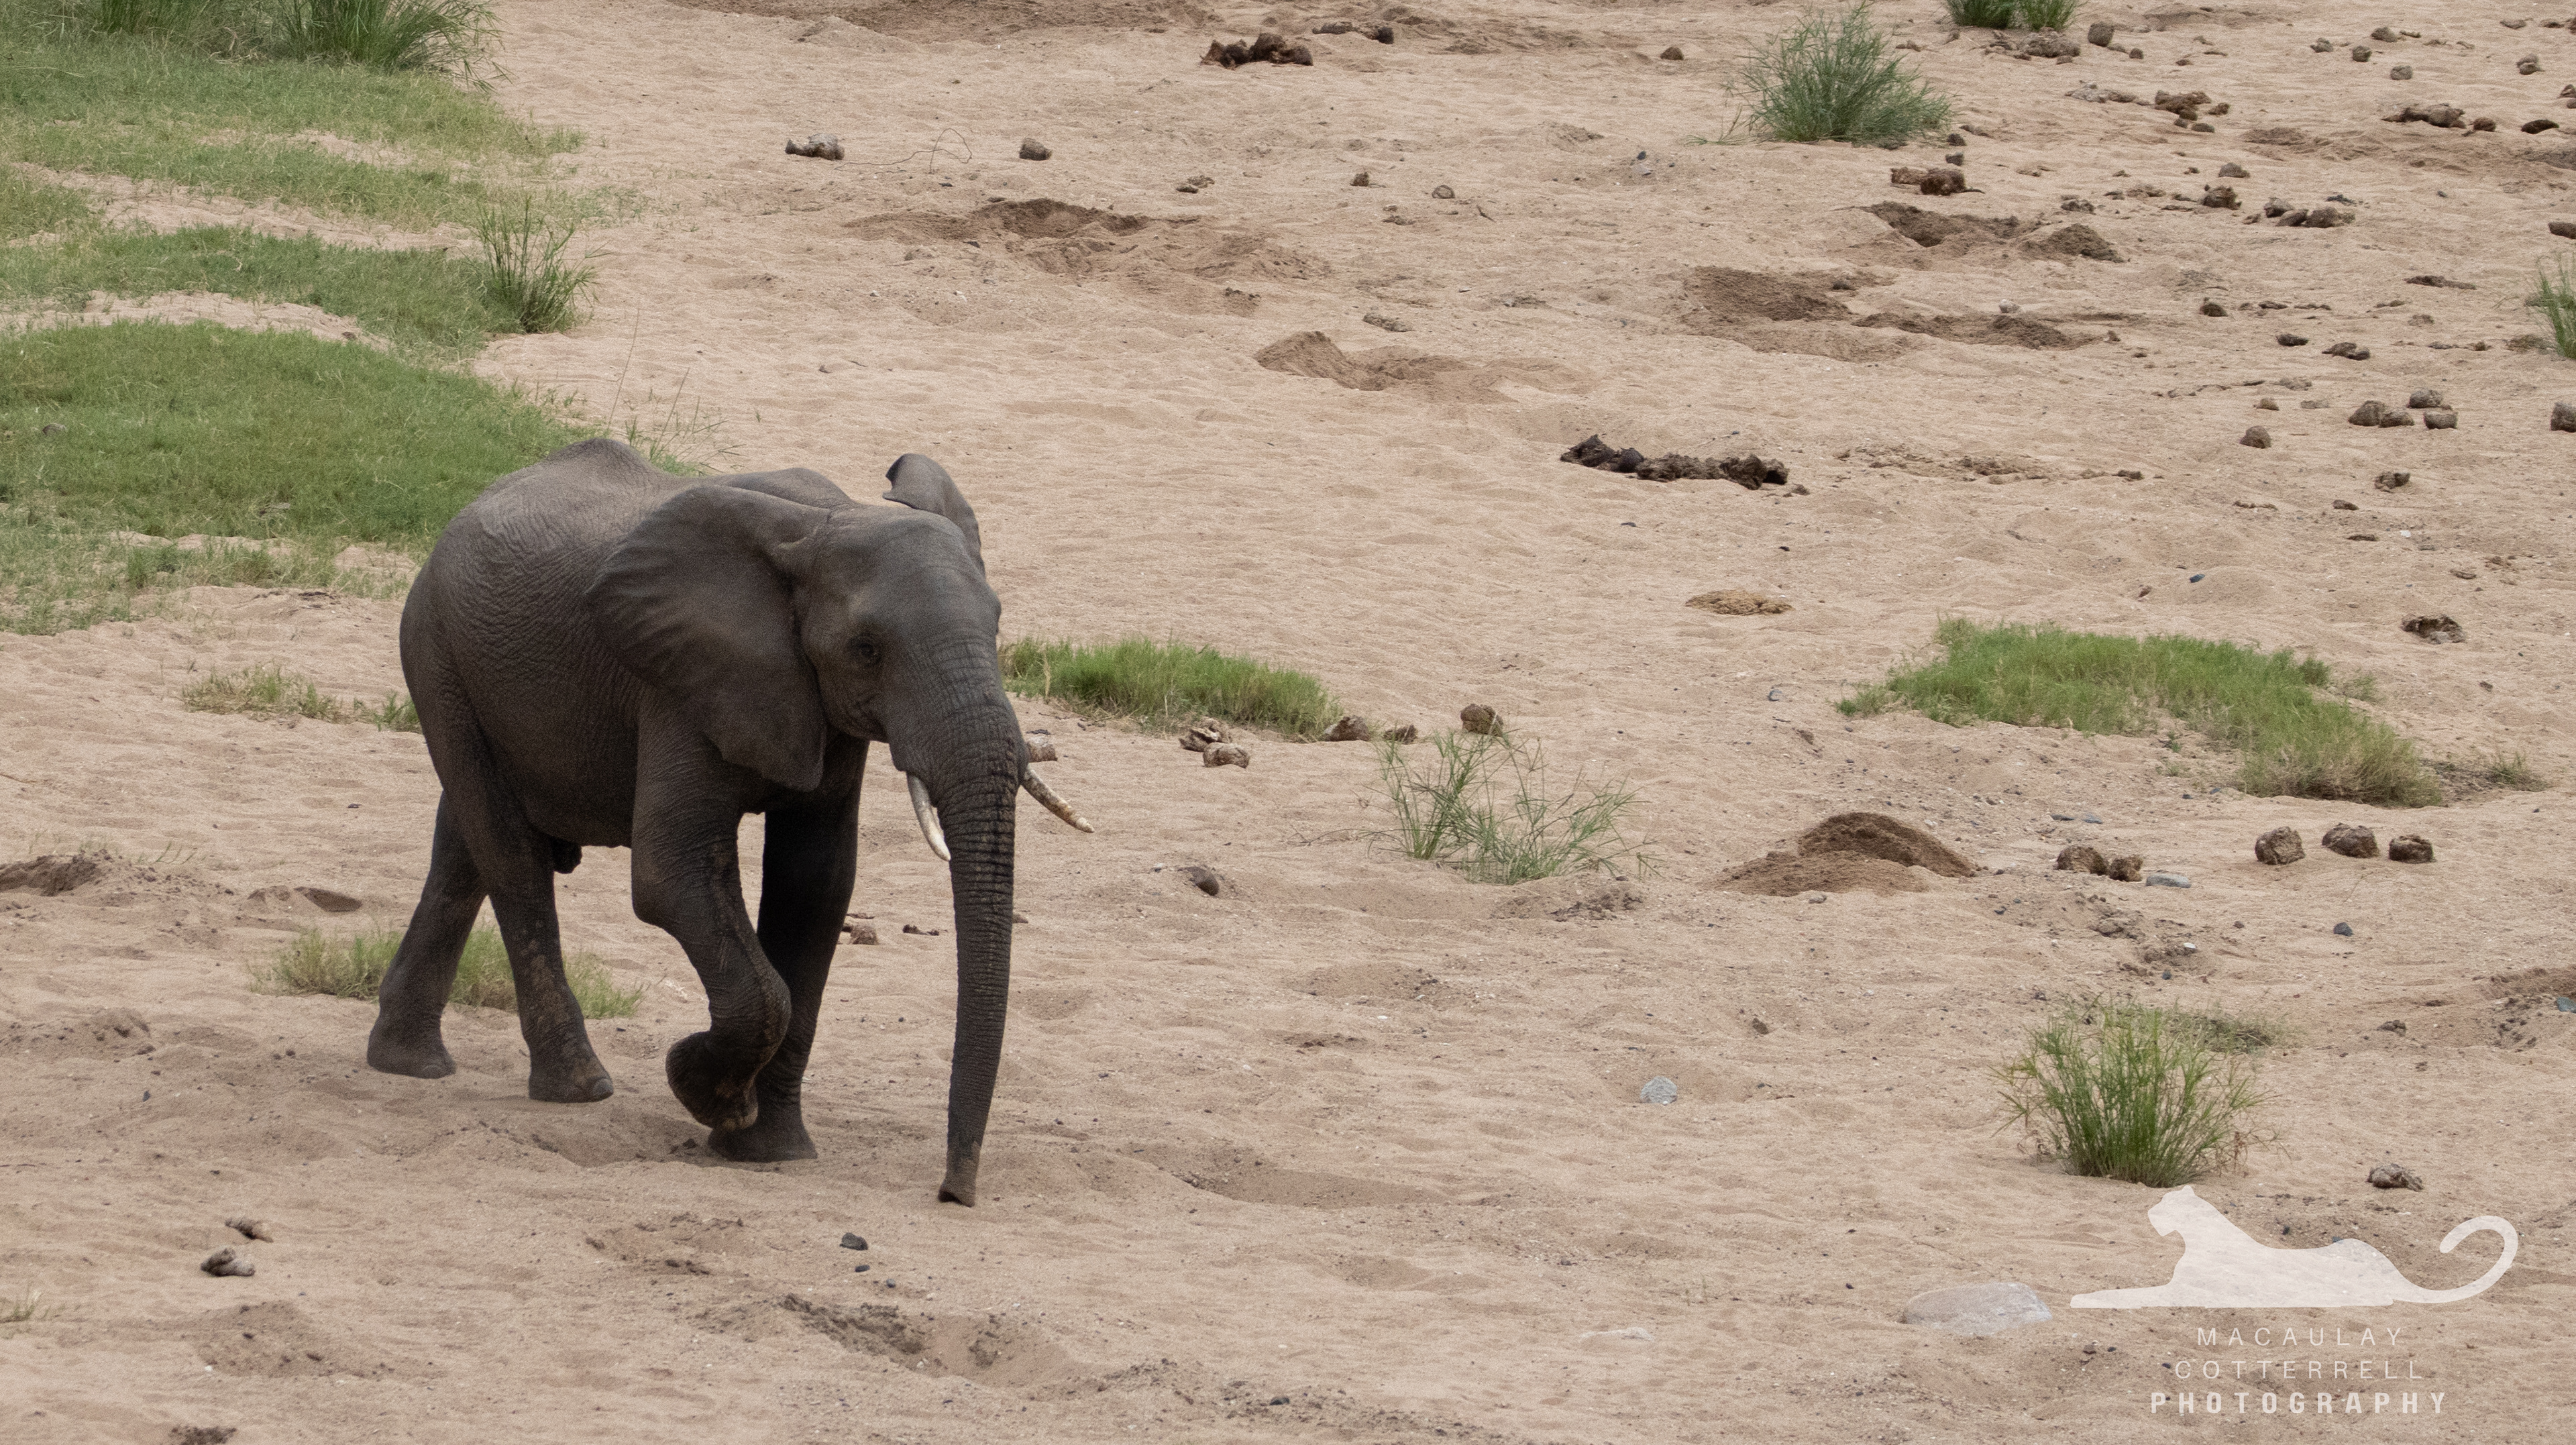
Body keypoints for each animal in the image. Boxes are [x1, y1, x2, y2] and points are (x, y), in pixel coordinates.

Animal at [364, 437, 1089, 1204]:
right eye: (866, 649)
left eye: (998, 625)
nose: (954, 1193)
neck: (831, 520)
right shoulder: (678, 680)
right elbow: (673, 874)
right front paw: (704, 1091)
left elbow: (816, 885)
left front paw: (768, 1151)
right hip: (435, 649)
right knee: (508, 854)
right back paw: (578, 1087)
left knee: (461, 846)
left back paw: (407, 1063)